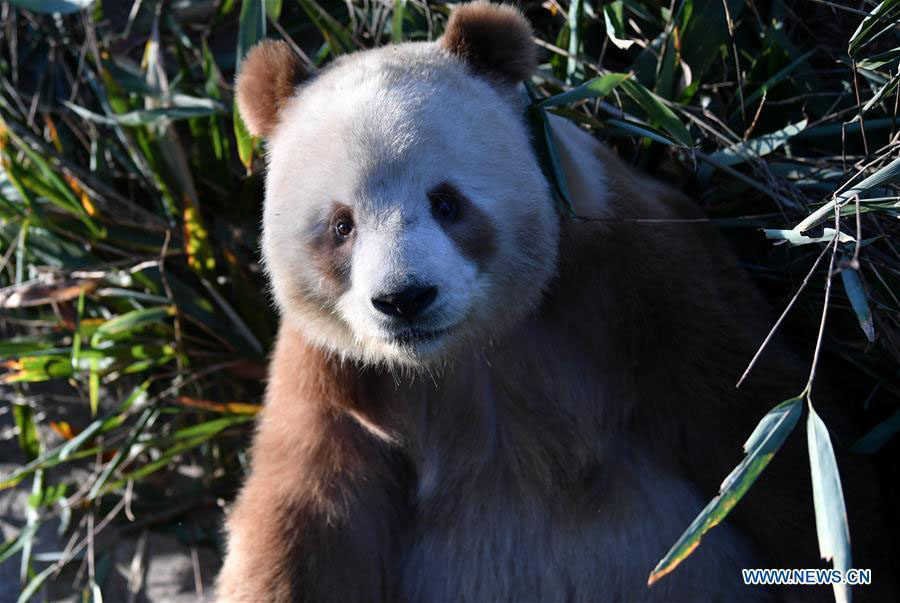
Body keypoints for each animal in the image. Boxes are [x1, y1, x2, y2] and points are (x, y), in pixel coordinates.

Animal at [216, 2, 892, 600]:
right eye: (341, 225)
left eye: (446, 201)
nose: (405, 299)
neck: (466, 357)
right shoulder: (332, 379)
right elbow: (303, 523)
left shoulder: (641, 285)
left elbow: (771, 441)